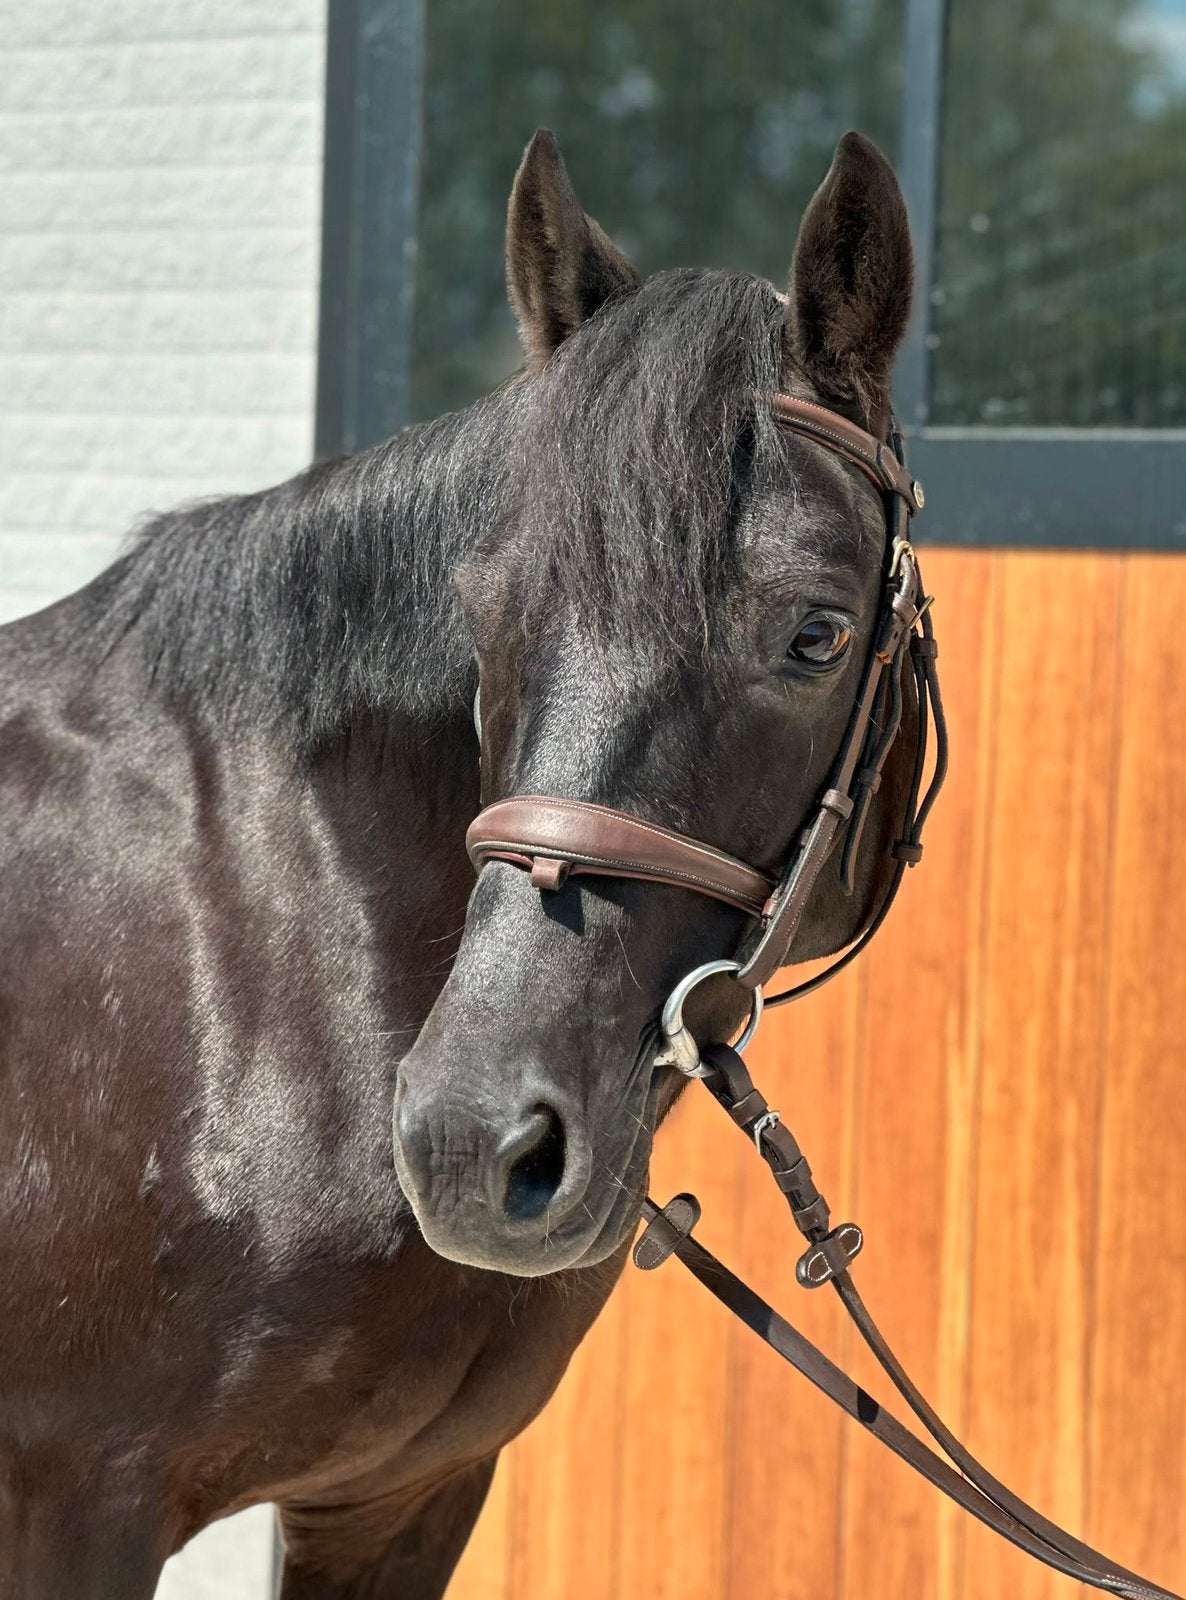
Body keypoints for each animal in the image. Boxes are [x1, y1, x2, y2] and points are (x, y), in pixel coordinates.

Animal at [0, 128, 921, 1598]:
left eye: (819, 634)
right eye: (482, 618)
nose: (472, 1141)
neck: (253, 960)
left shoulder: (401, 1494)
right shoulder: (66, 1500)